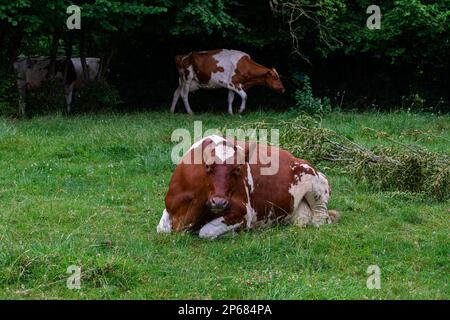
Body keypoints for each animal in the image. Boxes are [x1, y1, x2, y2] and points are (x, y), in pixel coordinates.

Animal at [156, 134, 340, 239]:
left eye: (237, 169)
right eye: (208, 167)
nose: (219, 202)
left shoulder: (243, 211)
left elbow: (205, 232)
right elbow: (162, 228)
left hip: (316, 185)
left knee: (321, 218)